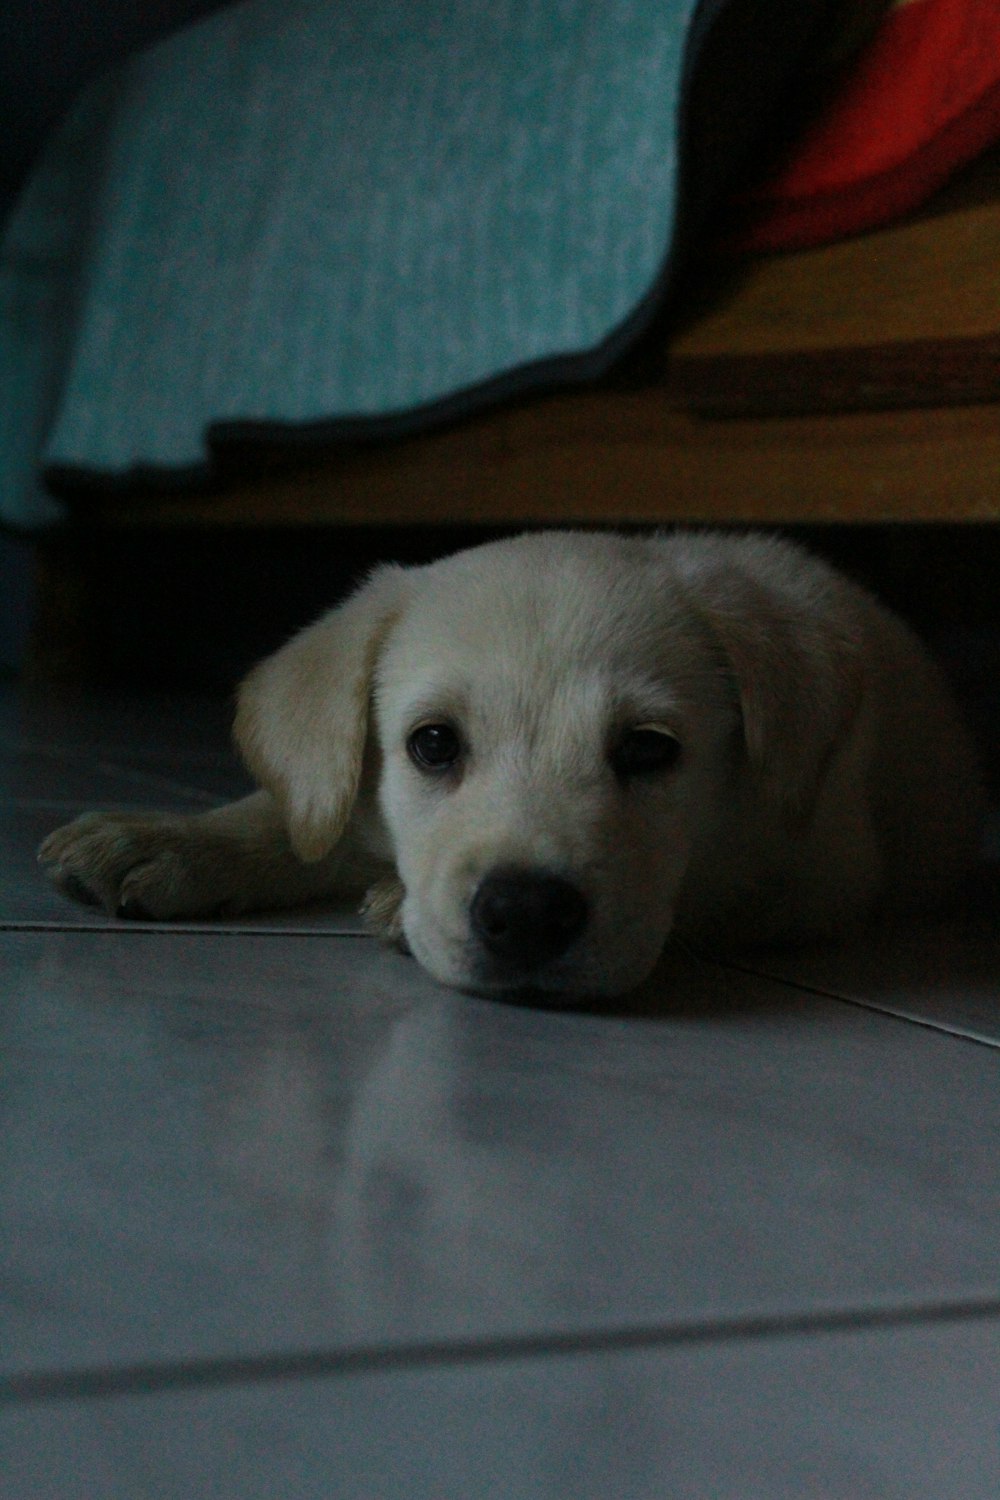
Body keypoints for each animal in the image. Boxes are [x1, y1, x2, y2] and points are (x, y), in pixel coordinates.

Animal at [41, 534, 983, 1002]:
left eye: (649, 749)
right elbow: (298, 816)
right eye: (432, 744)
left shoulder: (825, 870)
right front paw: (164, 840)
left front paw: (392, 907)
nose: (526, 913)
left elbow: (704, 893)